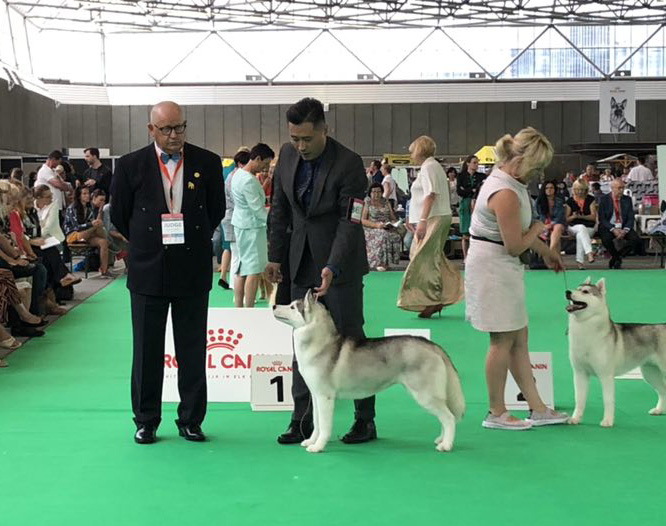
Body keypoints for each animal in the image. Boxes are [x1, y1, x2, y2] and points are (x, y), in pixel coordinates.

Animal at [272, 290, 465, 453]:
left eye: (292, 307)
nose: (273, 305)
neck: (320, 344)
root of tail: (432, 345)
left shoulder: (325, 397)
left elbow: (325, 426)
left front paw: (318, 446)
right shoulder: (316, 395)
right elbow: (317, 423)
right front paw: (311, 441)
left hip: (425, 394)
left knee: (449, 417)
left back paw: (446, 445)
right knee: (445, 417)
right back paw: (441, 439)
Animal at [566, 278, 666, 427]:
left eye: (585, 291)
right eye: (576, 288)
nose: (567, 292)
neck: (585, 329)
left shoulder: (606, 376)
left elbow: (608, 400)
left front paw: (607, 421)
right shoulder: (580, 374)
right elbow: (579, 399)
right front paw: (575, 418)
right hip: (650, 374)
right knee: (663, 391)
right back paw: (659, 410)